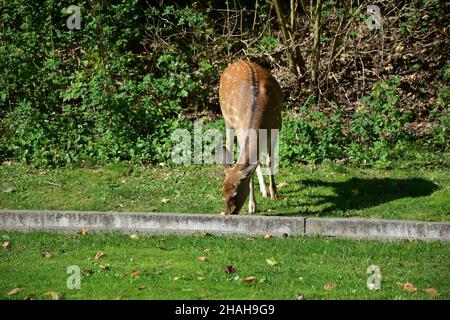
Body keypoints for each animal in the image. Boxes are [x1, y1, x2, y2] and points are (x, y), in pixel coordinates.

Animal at [218, 60, 282, 215]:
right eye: (222, 192)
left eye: (235, 193)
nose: (229, 213)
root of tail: (237, 61)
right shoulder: (241, 131)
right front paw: (252, 206)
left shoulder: (277, 126)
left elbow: (269, 161)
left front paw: (274, 194)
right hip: (227, 119)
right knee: (229, 146)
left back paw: (265, 190)